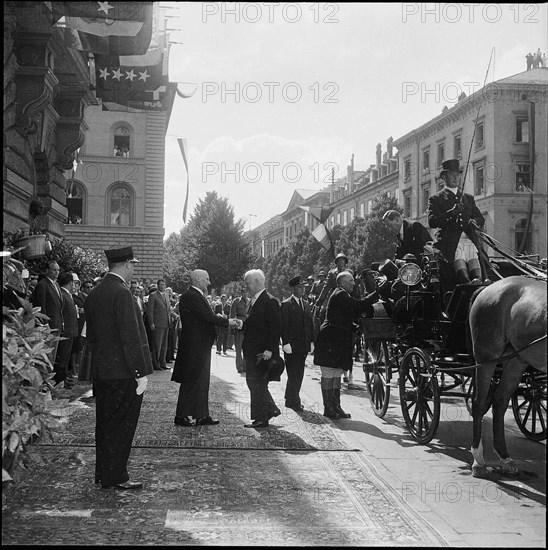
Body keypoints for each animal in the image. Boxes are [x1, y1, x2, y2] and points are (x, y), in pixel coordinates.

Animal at [468, 276, 544, 478]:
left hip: (516, 361)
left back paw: (504, 458)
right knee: (478, 403)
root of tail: (489, 287)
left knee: (500, 401)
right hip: (486, 358)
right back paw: (478, 460)